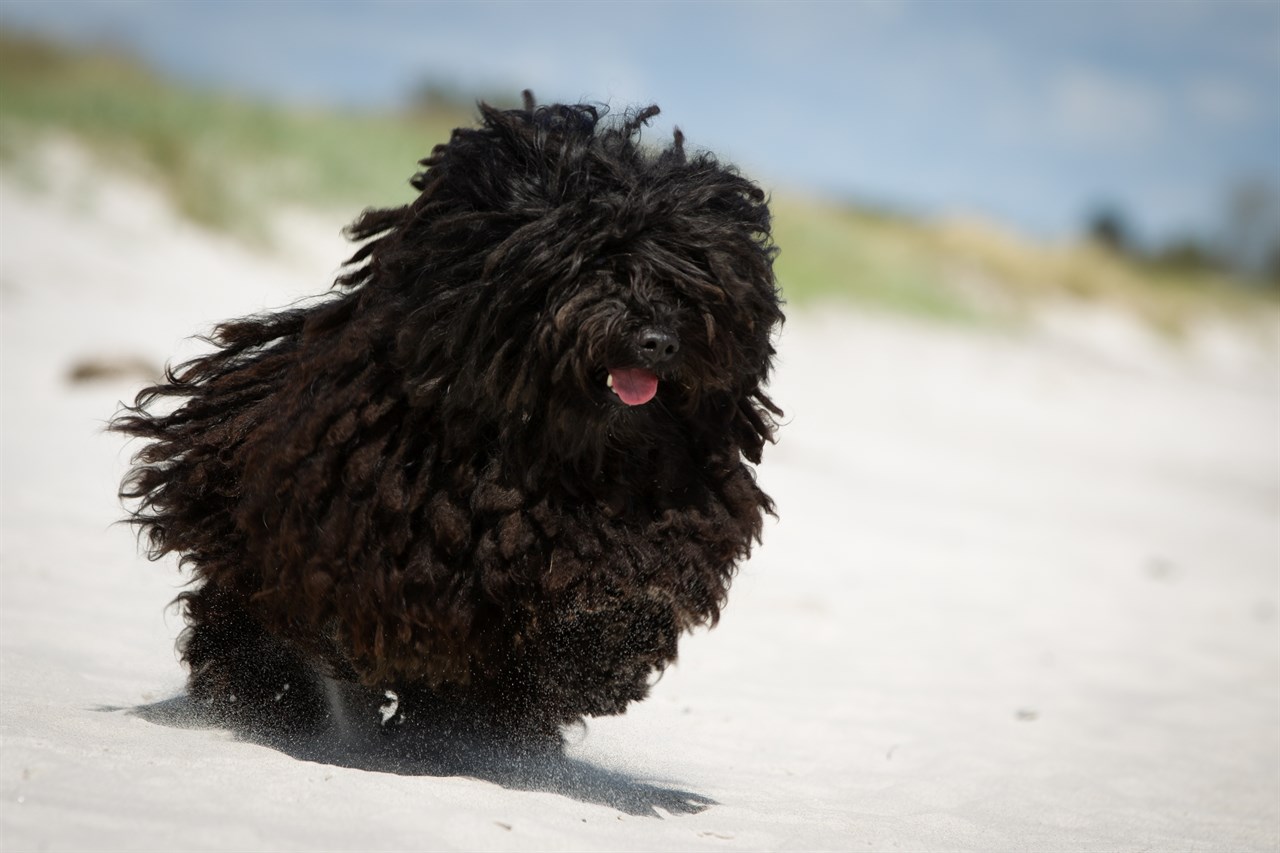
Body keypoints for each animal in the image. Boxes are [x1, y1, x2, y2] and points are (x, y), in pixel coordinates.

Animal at [115, 92, 783, 753]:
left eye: (694, 284)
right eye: (598, 263)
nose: (659, 341)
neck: (568, 455)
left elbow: (633, 589)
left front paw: (592, 653)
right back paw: (268, 692)